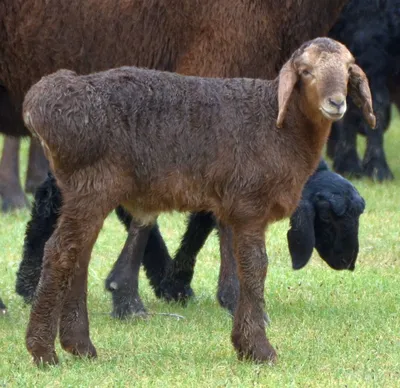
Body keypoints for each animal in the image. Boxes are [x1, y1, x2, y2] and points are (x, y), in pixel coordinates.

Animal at [22, 37, 376, 366]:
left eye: (348, 71)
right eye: (305, 72)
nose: (336, 103)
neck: (277, 126)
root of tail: (41, 100)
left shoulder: (234, 207)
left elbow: (239, 266)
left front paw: (244, 343)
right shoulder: (249, 204)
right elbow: (255, 267)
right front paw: (260, 349)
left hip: (88, 192)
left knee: (78, 256)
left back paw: (79, 346)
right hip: (91, 185)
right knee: (60, 253)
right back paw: (43, 352)